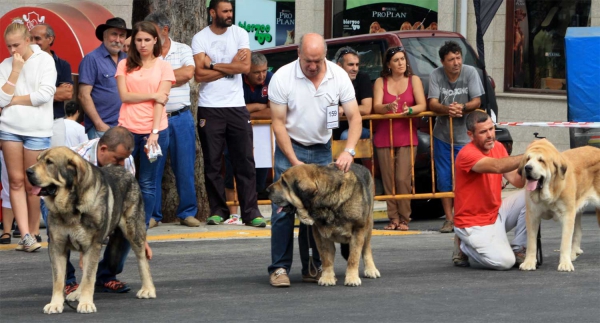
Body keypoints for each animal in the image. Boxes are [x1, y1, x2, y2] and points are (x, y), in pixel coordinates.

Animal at [516, 140, 600, 272]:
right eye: (527, 159)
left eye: (541, 160)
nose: (527, 167)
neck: (550, 190)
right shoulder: (532, 216)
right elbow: (532, 242)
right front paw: (529, 262)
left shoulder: (567, 215)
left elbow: (565, 242)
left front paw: (565, 264)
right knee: (578, 231)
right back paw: (573, 253)